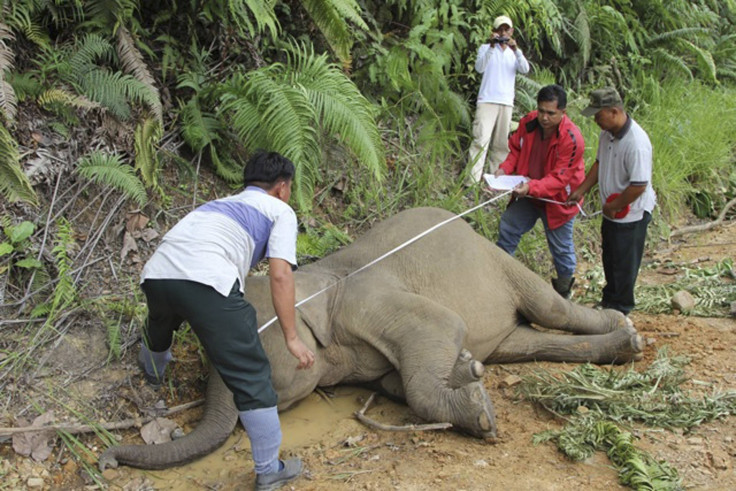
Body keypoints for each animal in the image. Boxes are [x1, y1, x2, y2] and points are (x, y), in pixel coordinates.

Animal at [99, 206, 644, 470]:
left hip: (495, 258)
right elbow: (394, 382)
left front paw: (479, 409)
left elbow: (444, 325)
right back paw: (616, 347)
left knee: (549, 307)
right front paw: (467, 374)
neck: (315, 283)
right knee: (525, 342)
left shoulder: (369, 301)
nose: (105, 459)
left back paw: (627, 333)